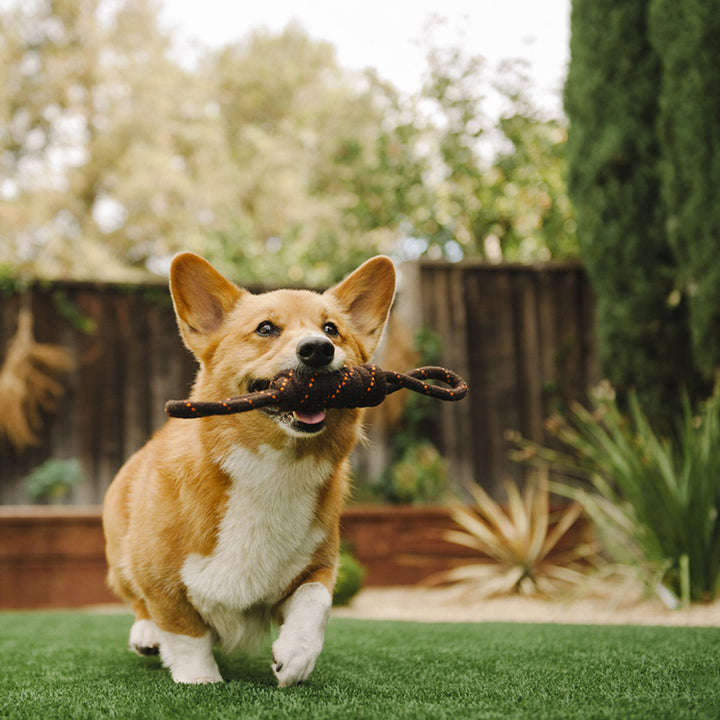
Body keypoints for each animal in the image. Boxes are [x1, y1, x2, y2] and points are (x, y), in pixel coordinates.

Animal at [102, 253, 396, 688]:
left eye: (331, 329)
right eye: (266, 328)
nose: (318, 350)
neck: (274, 467)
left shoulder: (319, 566)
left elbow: (316, 602)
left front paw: (295, 657)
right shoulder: (160, 581)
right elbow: (184, 632)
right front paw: (201, 680)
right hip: (120, 562)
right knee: (137, 603)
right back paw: (145, 634)